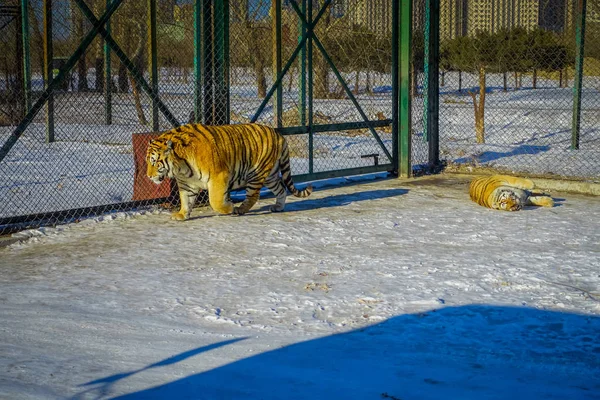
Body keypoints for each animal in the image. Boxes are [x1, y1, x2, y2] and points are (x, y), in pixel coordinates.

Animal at [148, 123, 312, 220]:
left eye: (155, 162)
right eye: (148, 161)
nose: (149, 176)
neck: (181, 167)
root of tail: (279, 134)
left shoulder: (219, 176)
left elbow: (215, 201)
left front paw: (229, 208)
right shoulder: (187, 183)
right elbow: (186, 200)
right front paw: (182, 215)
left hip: (256, 173)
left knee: (253, 196)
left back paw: (239, 209)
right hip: (270, 176)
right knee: (281, 188)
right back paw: (278, 207)